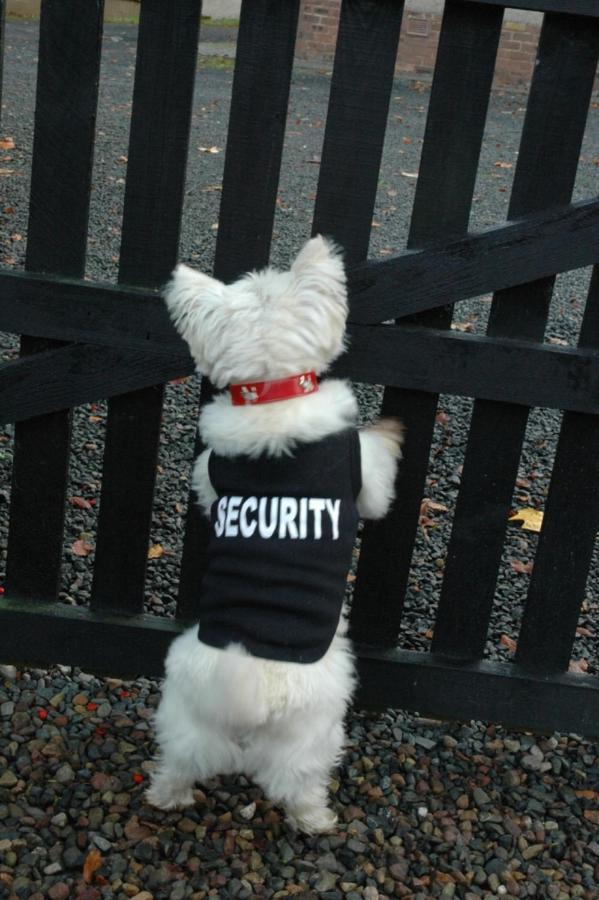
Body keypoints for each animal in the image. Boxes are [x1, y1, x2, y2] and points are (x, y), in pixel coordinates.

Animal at [146, 236, 404, 832]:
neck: (272, 396)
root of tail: (253, 694)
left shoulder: (210, 470)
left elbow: (206, 489)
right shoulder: (365, 474)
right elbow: (380, 481)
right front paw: (389, 429)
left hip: (187, 720)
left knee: (177, 762)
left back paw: (166, 798)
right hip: (314, 728)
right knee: (298, 781)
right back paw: (318, 819)